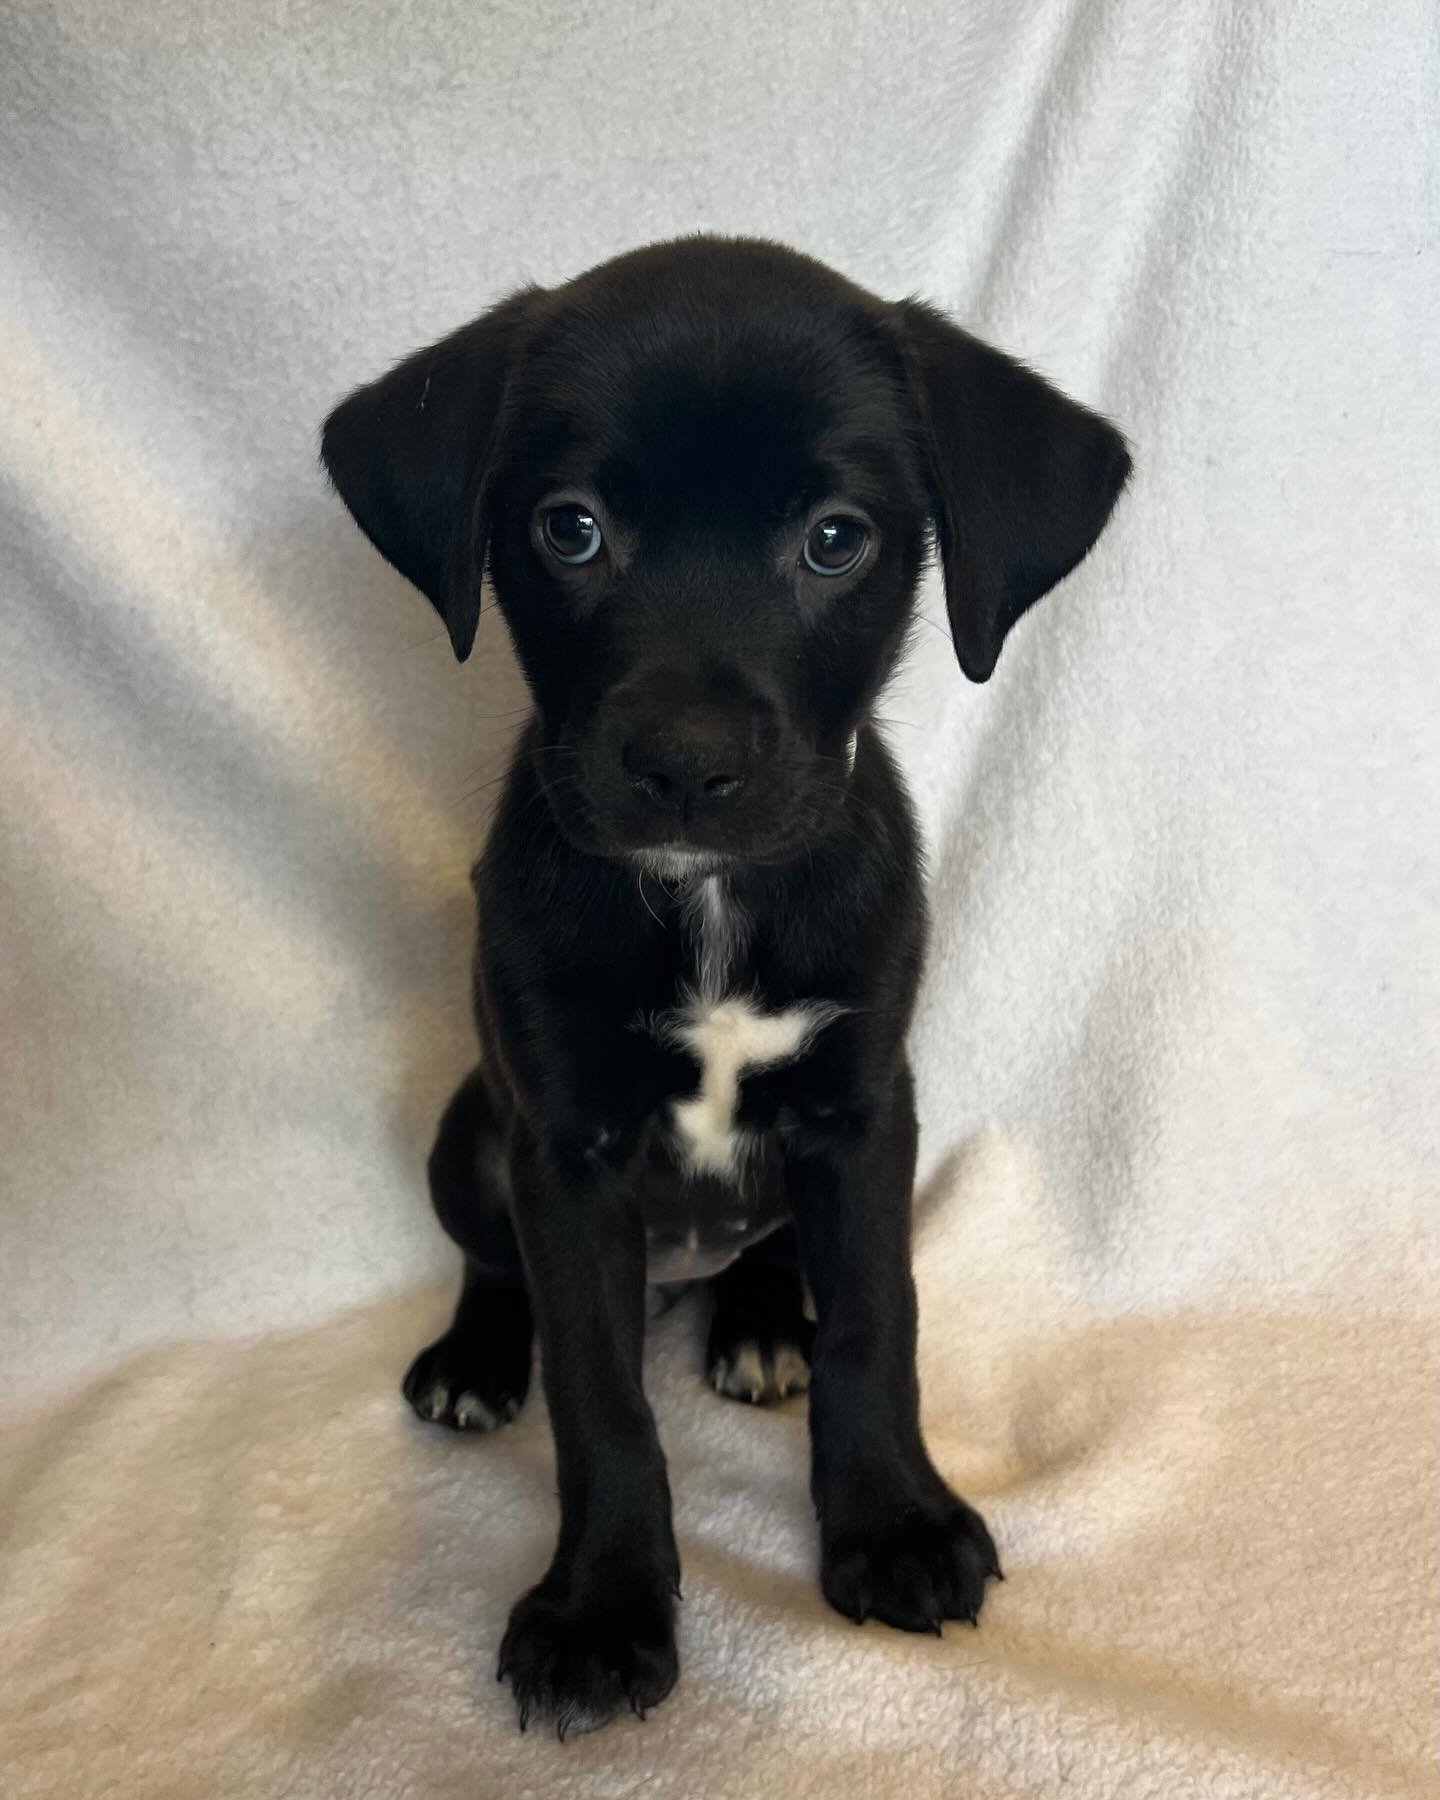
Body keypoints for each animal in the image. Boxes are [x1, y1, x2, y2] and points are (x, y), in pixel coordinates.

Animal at [320, 235, 1130, 1728]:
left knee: (772, 1249)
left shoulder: (866, 1115)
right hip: (469, 1131)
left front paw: (892, 1526)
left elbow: (877, 1322)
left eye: (836, 538)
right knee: (494, 1262)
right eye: (570, 527)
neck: (705, 899)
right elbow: (600, 1397)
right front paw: (601, 1610)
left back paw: (760, 1326)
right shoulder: (563, 1148)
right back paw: (477, 1359)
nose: (687, 766)